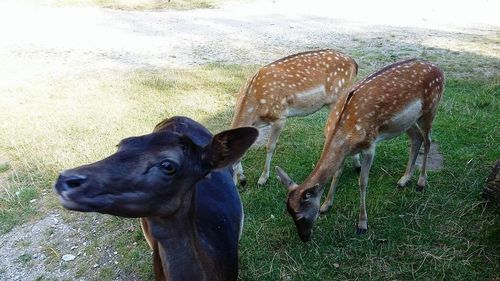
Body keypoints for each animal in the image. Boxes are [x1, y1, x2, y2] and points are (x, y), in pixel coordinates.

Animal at [230, 49, 360, 186]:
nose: (236, 185)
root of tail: (354, 63)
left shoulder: (280, 116)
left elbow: (270, 146)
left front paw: (263, 178)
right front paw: (243, 176)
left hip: (339, 98)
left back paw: (357, 165)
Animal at [278, 59, 446, 241]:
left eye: (301, 216)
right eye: (289, 213)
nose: (305, 238)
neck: (343, 136)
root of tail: (439, 70)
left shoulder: (369, 146)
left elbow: (363, 182)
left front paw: (362, 224)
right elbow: (337, 173)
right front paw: (326, 205)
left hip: (431, 108)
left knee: (428, 141)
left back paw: (421, 182)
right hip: (406, 122)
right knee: (417, 139)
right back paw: (404, 179)